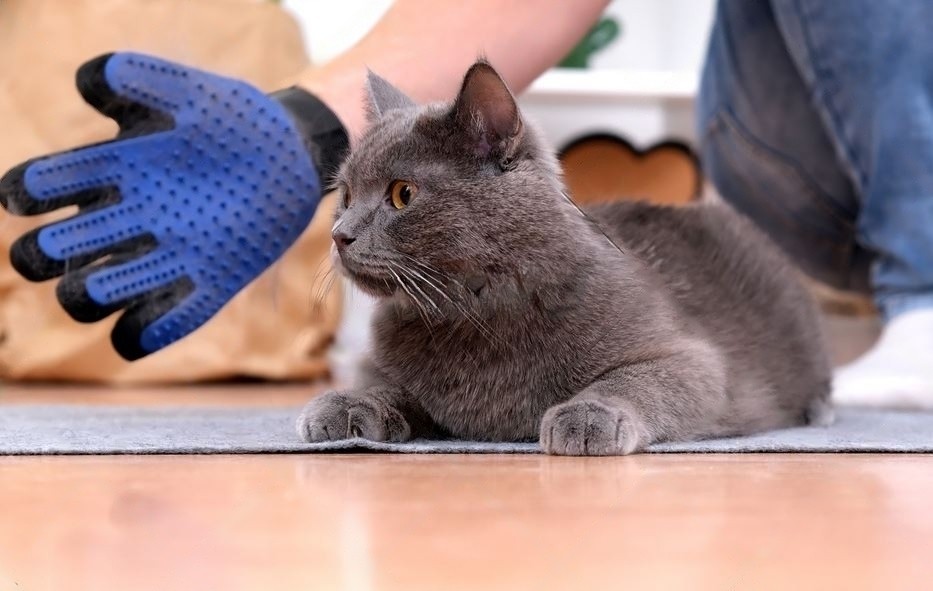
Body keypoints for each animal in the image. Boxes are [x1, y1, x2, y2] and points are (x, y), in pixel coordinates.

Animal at [294, 60, 832, 456]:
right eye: (345, 195)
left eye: (402, 194)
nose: (340, 235)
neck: (471, 314)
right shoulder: (386, 365)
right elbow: (385, 384)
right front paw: (345, 405)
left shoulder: (694, 360)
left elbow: (636, 378)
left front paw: (589, 415)